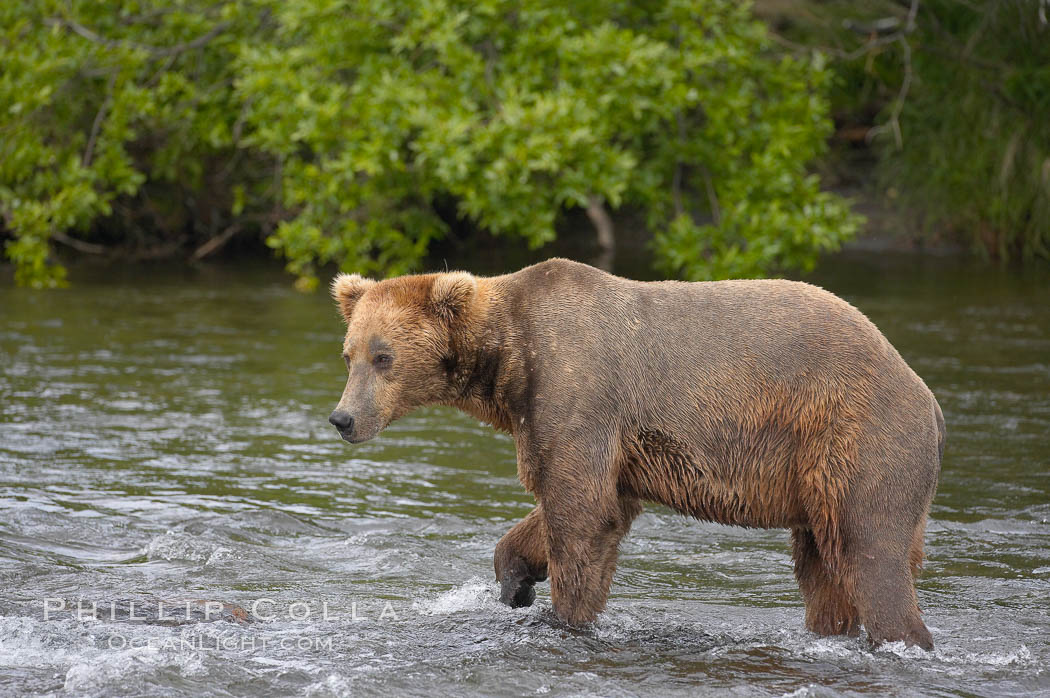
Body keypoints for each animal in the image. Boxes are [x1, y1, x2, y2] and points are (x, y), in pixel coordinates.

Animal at [327, 256, 944, 646]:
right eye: (349, 353)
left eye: (384, 357)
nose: (343, 418)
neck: (511, 358)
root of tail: (929, 399)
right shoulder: (590, 438)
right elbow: (587, 506)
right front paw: (515, 580)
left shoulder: (578, 388)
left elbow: (581, 516)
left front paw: (564, 616)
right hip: (819, 478)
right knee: (823, 571)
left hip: (857, 437)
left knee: (870, 554)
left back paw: (904, 637)